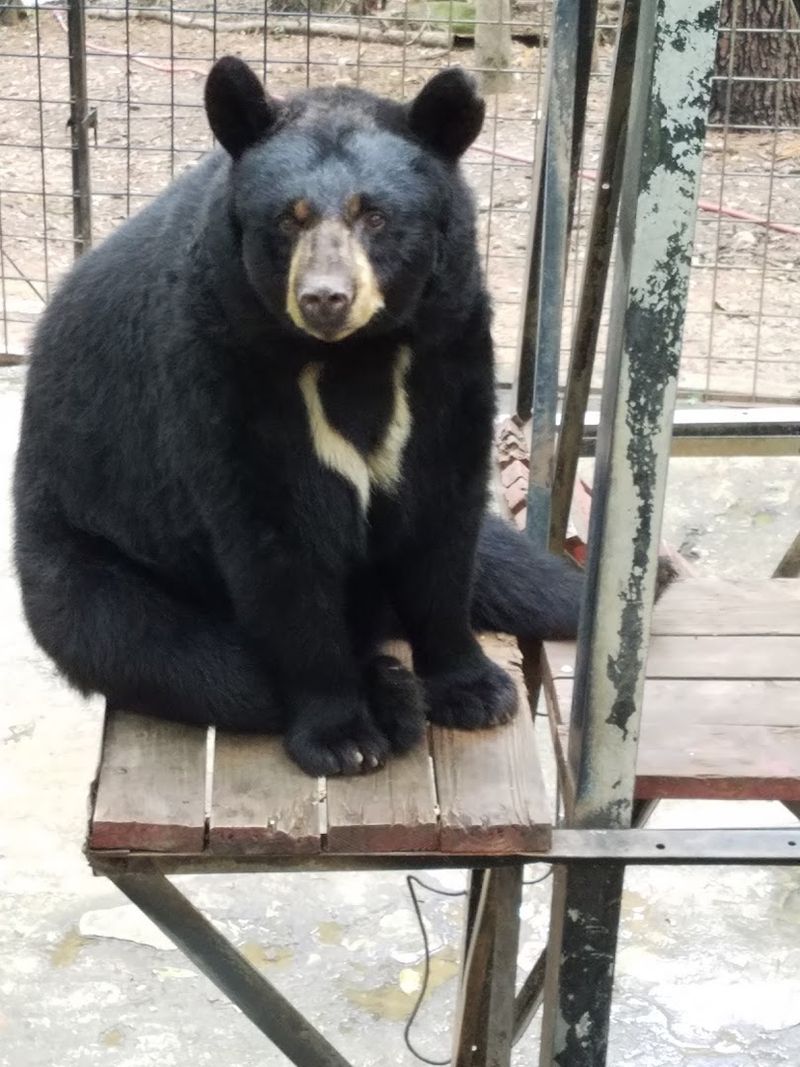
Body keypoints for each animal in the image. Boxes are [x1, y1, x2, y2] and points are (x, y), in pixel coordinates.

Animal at [13, 57, 582, 776]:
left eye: (375, 216)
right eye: (290, 218)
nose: (325, 298)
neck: (353, 354)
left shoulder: (448, 352)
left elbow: (444, 520)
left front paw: (477, 689)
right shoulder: (225, 367)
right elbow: (278, 544)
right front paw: (343, 736)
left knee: (513, 567)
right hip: (83, 556)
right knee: (171, 654)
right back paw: (390, 695)